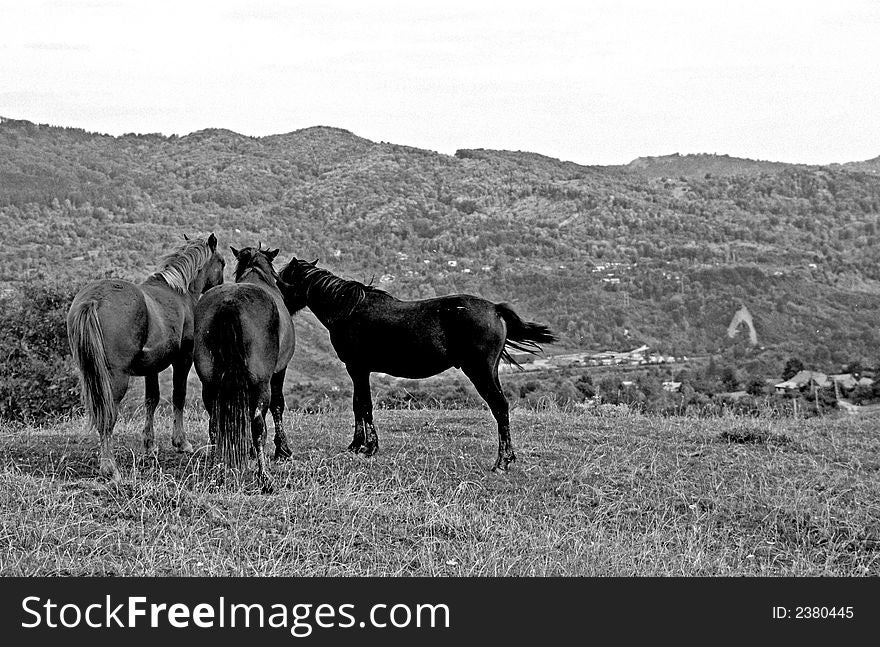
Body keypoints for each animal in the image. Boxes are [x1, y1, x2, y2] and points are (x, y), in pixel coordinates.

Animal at [69, 233, 227, 480]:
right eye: (221, 262)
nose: (220, 286)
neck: (178, 292)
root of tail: (94, 299)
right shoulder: (183, 359)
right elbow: (178, 396)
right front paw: (181, 442)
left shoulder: (151, 367)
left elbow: (151, 400)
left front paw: (149, 445)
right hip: (116, 379)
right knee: (108, 416)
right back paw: (110, 467)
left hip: (90, 375)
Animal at [193, 246, 296, 488]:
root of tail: (230, 303)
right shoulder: (278, 372)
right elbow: (277, 406)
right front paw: (282, 450)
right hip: (261, 383)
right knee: (258, 424)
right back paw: (264, 477)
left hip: (210, 384)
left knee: (215, 425)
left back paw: (216, 471)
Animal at [278, 256, 560, 474]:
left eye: (282, 278)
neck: (348, 309)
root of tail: (496, 309)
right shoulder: (359, 370)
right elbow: (359, 405)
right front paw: (356, 446)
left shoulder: (358, 368)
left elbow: (364, 405)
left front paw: (368, 447)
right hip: (490, 371)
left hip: (480, 372)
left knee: (499, 407)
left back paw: (502, 462)